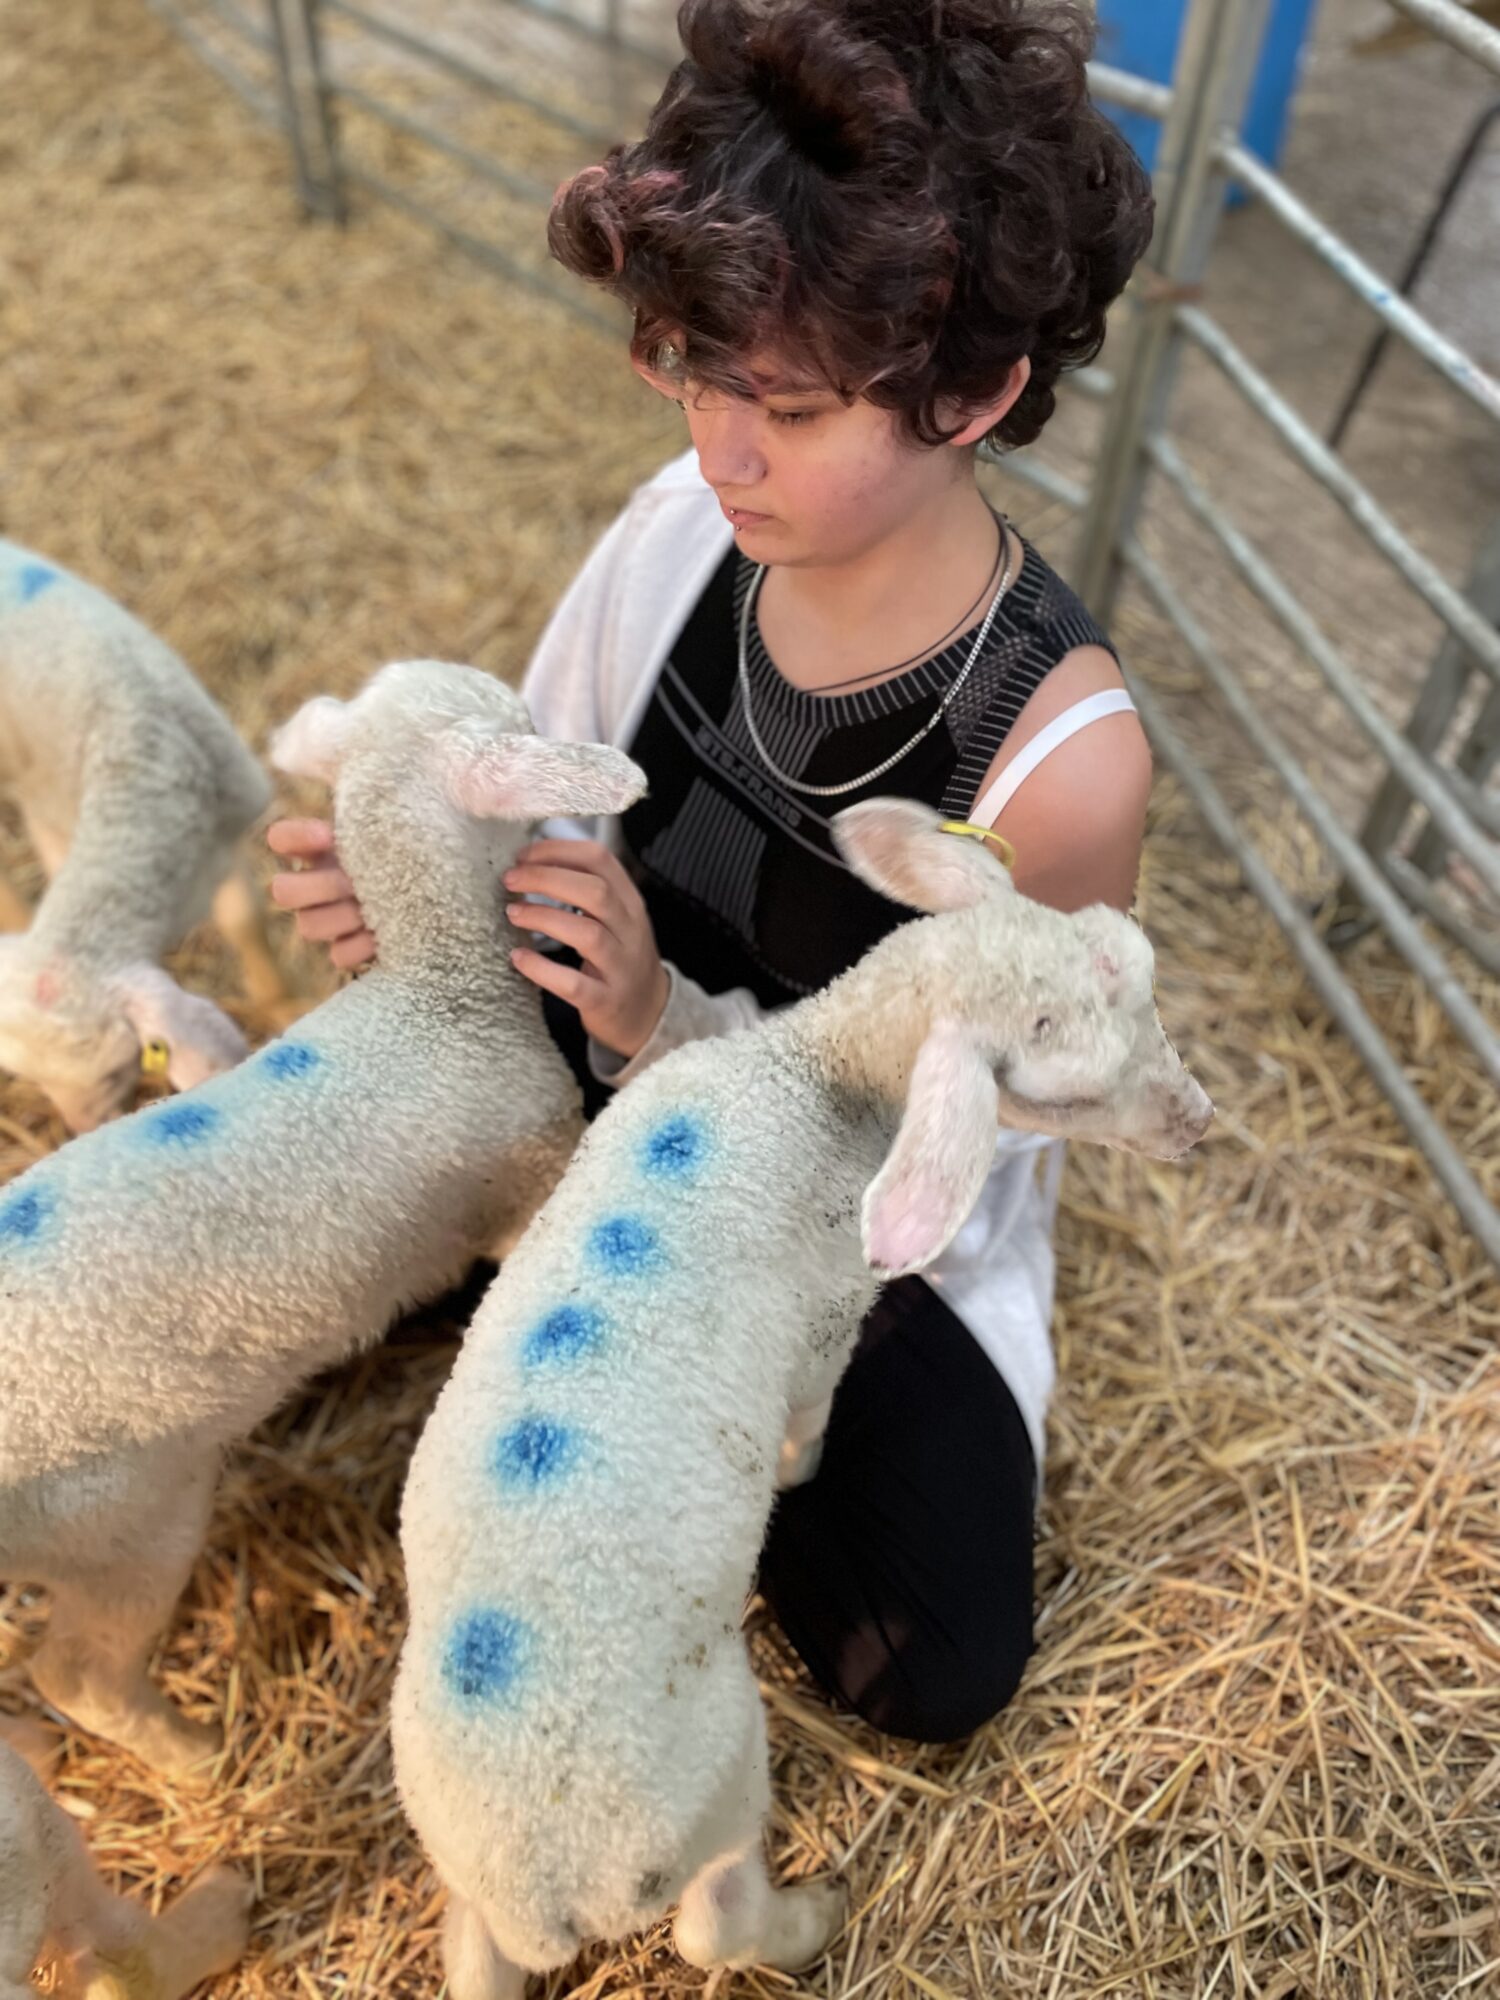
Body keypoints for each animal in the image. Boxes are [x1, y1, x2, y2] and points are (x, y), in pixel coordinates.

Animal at [0, 538, 285, 1134]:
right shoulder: (55, 818)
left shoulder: (225, 835)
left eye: (116, 1070)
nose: (84, 1131)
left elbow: (244, 922)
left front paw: (289, 1005)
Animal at [0, 657, 646, 1779]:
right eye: (520, 724)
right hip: (118, 1523)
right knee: (80, 1675)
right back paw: (199, 1754)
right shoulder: (525, 1175)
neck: (436, 994)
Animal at [390, 795, 1215, 1998]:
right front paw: (803, 1478)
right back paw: (812, 1913)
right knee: (714, 1923)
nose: (1200, 1120)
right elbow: (810, 1424)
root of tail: (546, 1881)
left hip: (461, 1853)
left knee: (474, 1951)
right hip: (715, 1778)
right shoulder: (827, 1328)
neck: (815, 1079)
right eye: (1068, 1090)